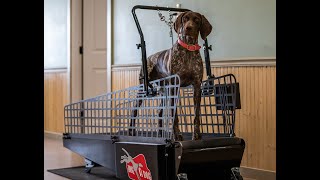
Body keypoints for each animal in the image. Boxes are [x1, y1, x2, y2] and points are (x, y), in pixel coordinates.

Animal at [134, 10, 211, 141]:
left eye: (196, 20)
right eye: (185, 19)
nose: (188, 28)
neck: (188, 48)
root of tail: (148, 58)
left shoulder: (197, 86)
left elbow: (196, 114)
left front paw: (196, 135)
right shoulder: (174, 87)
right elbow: (174, 115)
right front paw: (177, 135)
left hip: (163, 91)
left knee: (159, 112)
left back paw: (160, 134)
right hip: (143, 90)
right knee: (134, 109)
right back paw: (131, 132)